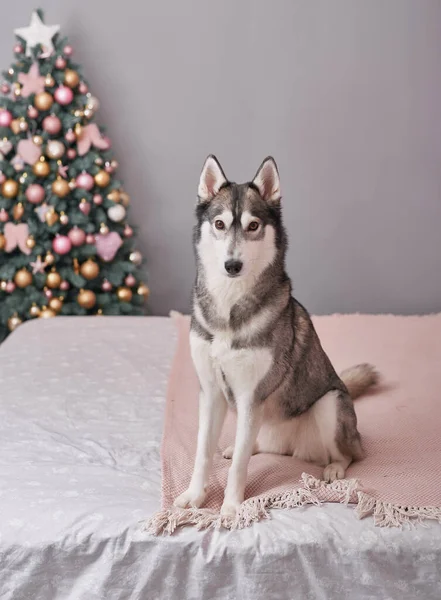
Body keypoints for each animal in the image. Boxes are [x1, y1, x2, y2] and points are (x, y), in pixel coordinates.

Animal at [174, 157, 376, 516]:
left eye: (253, 226)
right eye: (220, 224)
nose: (232, 265)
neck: (229, 305)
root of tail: (292, 447)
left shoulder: (250, 395)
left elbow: (239, 467)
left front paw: (231, 507)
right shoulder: (211, 393)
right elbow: (202, 453)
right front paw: (195, 495)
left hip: (329, 404)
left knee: (351, 452)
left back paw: (335, 468)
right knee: (250, 443)